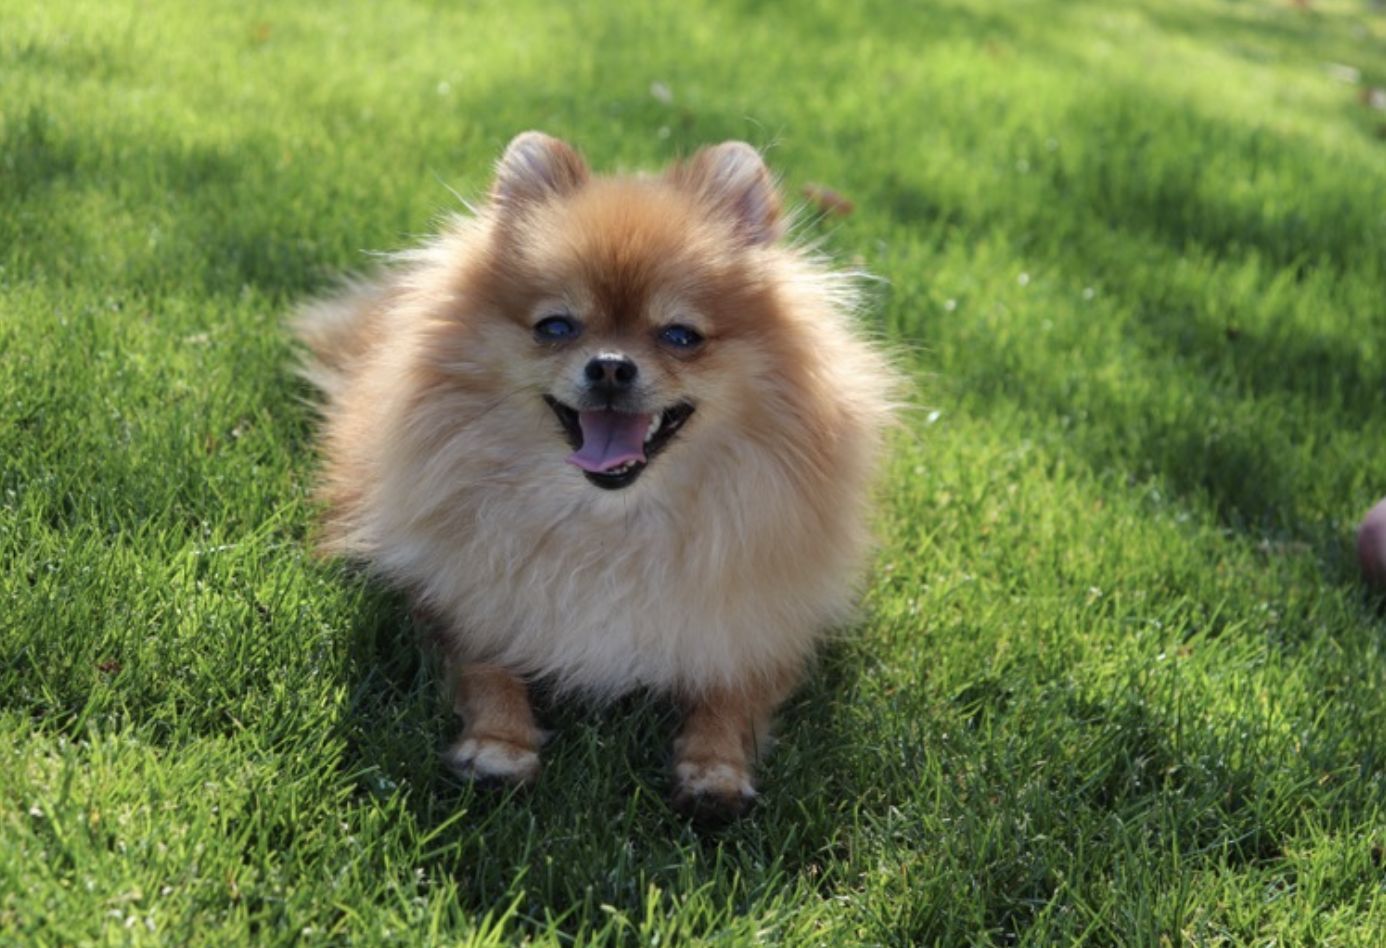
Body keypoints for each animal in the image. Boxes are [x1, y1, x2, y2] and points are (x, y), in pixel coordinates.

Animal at [297, 133, 892, 820]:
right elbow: (486, 667)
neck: (612, 526)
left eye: (680, 335)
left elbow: (732, 695)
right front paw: (498, 743)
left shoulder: (757, 622)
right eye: (556, 327)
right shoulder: (459, 602)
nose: (610, 366)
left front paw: (715, 768)